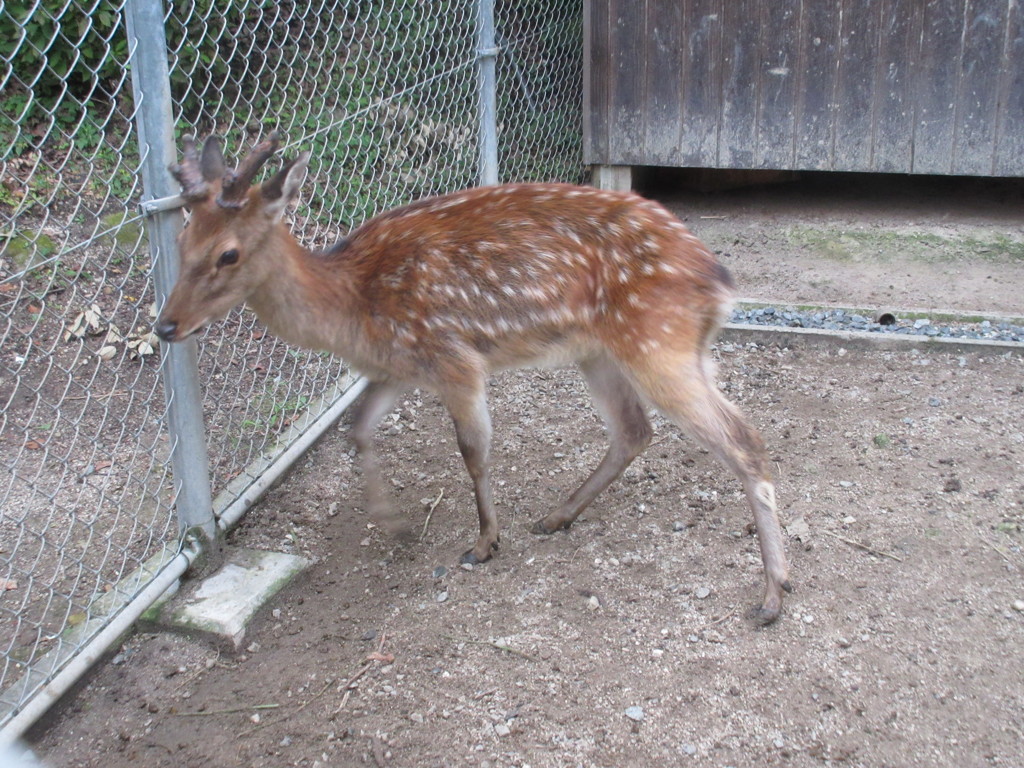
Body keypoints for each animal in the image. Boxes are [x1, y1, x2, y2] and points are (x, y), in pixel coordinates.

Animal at [154, 133, 792, 623]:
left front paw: (483, 543)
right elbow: (358, 429)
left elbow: (472, 450)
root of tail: (719, 283)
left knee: (744, 440)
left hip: (658, 343)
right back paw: (556, 516)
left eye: (228, 254)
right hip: (606, 351)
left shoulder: (454, 358)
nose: (165, 325)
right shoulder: (400, 366)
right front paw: (396, 528)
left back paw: (772, 594)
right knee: (635, 431)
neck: (353, 304)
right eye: (181, 240)